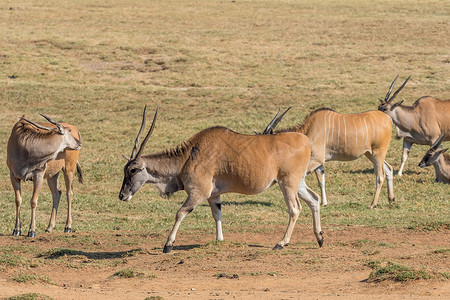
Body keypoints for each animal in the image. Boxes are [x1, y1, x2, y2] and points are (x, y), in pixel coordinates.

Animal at [119, 106, 324, 252]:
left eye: (133, 170)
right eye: (125, 169)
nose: (122, 195)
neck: (188, 156)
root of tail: (304, 140)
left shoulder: (199, 193)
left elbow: (180, 212)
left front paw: (168, 244)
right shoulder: (213, 196)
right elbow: (217, 214)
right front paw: (219, 239)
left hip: (287, 184)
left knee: (295, 209)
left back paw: (281, 243)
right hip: (298, 183)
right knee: (314, 199)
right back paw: (320, 237)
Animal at [266, 108, 396, 209]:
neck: (308, 130)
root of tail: (387, 119)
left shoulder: (316, 159)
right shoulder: (318, 162)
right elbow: (321, 180)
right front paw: (324, 203)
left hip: (378, 153)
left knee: (380, 176)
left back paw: (373, 204)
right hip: (370, 154)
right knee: (389, 168)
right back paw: (391, 199)